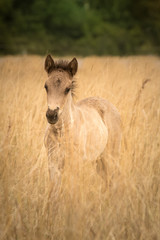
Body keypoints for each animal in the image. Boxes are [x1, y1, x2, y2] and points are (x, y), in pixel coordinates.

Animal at [43, 54, 121, 182]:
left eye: (67, 89)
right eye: (46, 86)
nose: (51, 115)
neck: (61, 132)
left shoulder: (75, 164)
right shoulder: (53, 164)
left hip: (111, 157)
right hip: (98, 160)